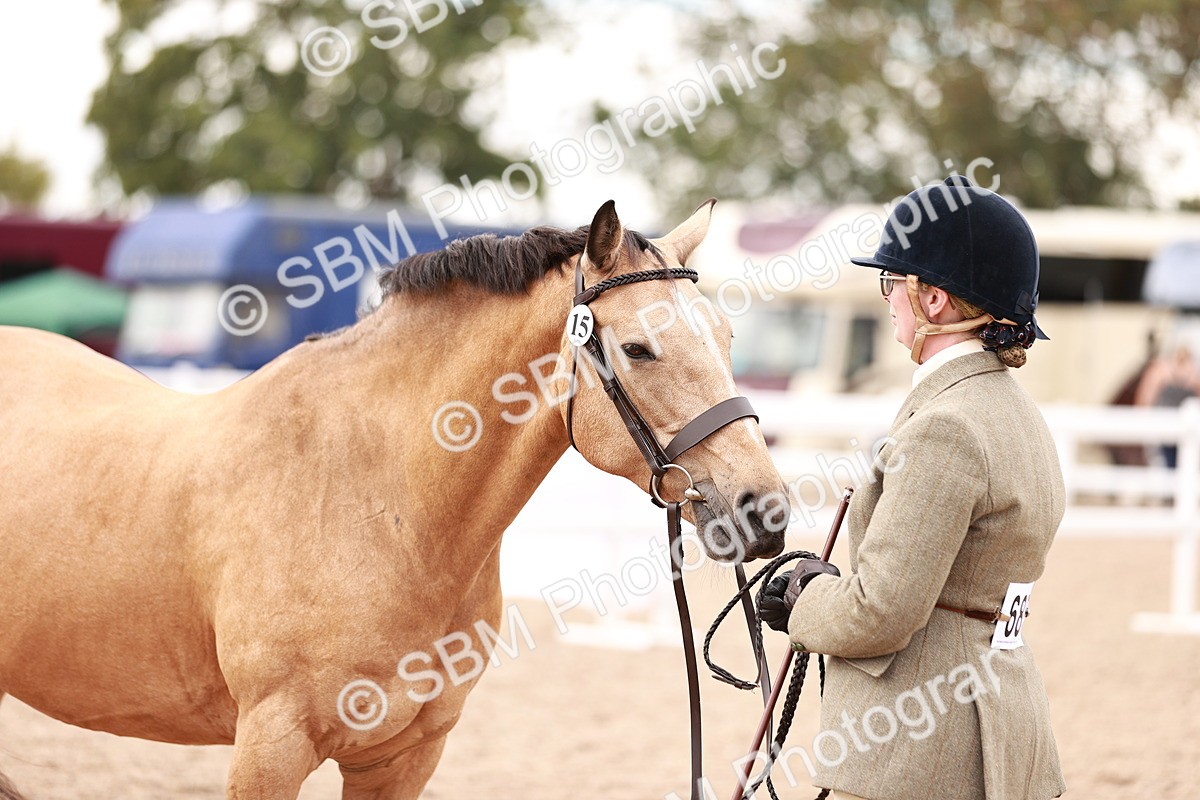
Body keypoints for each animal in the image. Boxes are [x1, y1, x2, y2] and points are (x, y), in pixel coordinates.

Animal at [0, 199, 790, 799]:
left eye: (726, 336)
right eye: (639, 349)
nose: (766, 510)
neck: (381, 509)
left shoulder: (404, 757)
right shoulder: (269, 749)